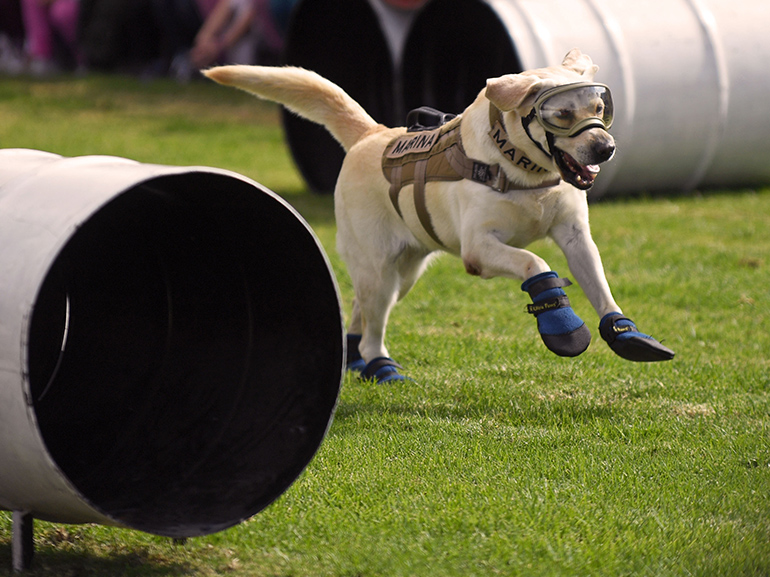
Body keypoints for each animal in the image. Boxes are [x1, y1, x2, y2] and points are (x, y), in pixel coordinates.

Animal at [206, 50, 672, 382]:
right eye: (560, 114)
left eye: (600, 106)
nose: (606, 148)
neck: (523, 169)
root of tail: (372, 134)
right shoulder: (478, 249)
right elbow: (535, 262)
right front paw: (561, 323)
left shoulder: (576, 237)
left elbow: (600, 287)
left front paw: (626, 333)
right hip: (380, 270)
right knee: (373, 326)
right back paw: (379, 366)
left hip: (404, 275)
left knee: (360, 310)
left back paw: (357, 361)